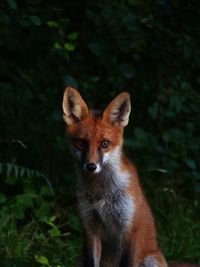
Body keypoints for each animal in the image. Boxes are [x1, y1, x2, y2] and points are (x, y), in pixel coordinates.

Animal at [62, 88, 198, 267]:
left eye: (105, 144)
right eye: (81, 143)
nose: (91, 166)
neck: (102, 194)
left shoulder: (129, 230)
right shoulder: (90, 229)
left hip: (150, 260)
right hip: (80, 258)